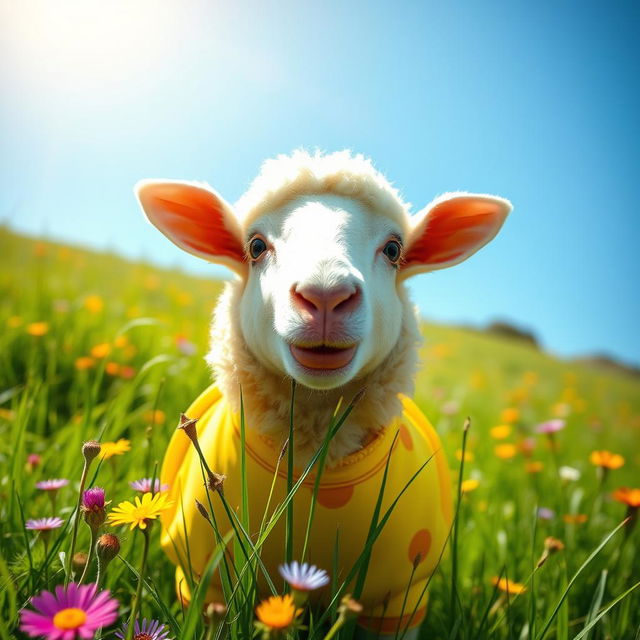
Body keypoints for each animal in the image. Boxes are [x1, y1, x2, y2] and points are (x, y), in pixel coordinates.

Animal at [136, 150, 516, 636]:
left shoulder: (403, 593)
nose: (325, 295)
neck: (316, 451)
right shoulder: (206, 577)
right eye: (255, 246)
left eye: (393, 250)